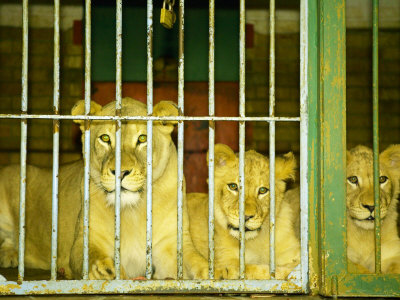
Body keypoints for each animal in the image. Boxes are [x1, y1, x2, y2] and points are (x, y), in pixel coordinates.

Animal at [0, 97, 206, 280]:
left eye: (142, 138)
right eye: (105, 138)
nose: (120, 172)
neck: (133, 213)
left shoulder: (172, 243)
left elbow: (197, 262)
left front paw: (211, 274)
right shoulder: (85, 239)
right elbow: (91, 257)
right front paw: (104, 270)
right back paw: (10, 255)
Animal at [188, 144, 300, 280]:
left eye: (263, 190)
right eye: (233, 186)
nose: (246, 216)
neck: (255, 241)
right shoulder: (226, 258)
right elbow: (252, 269)